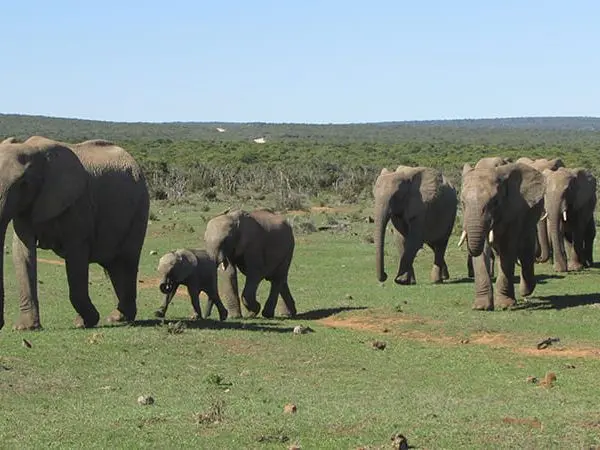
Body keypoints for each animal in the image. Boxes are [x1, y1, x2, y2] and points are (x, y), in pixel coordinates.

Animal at [0, 135, 149, 328]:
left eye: (22, 183)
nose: (1, 324)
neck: (32, 149)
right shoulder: (27, 207)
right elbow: (23, 252)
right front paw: (25, 328)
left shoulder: (78, 202)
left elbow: (76, 255)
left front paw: (85, 322)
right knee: (114, 265)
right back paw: (118, 318)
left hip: (139, 207)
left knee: (127, 260)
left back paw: (120, 317)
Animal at [460, 161, 544, 310]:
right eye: (462, 203)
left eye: (495, 202)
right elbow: (483, 251)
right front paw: (481, 307)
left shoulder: (514, 211)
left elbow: (508, 249)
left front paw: (505, 305)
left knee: (525, 250)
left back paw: (525, 291)